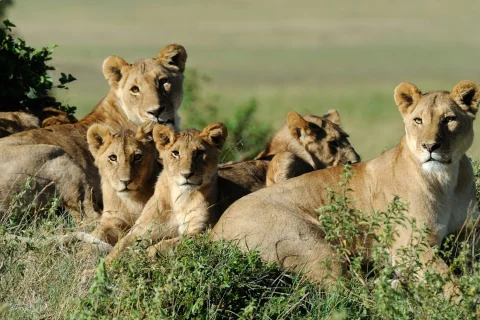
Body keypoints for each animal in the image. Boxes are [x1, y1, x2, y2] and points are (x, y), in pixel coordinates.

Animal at [105, 122, 227, 264]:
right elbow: (119, 246)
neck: (181, 197)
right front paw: (103, 268)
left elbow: (164, 244)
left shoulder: (201, 231)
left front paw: (148, 255)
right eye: (175, 153)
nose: (186, 174)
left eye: (199, 153)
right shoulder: (141, 229)